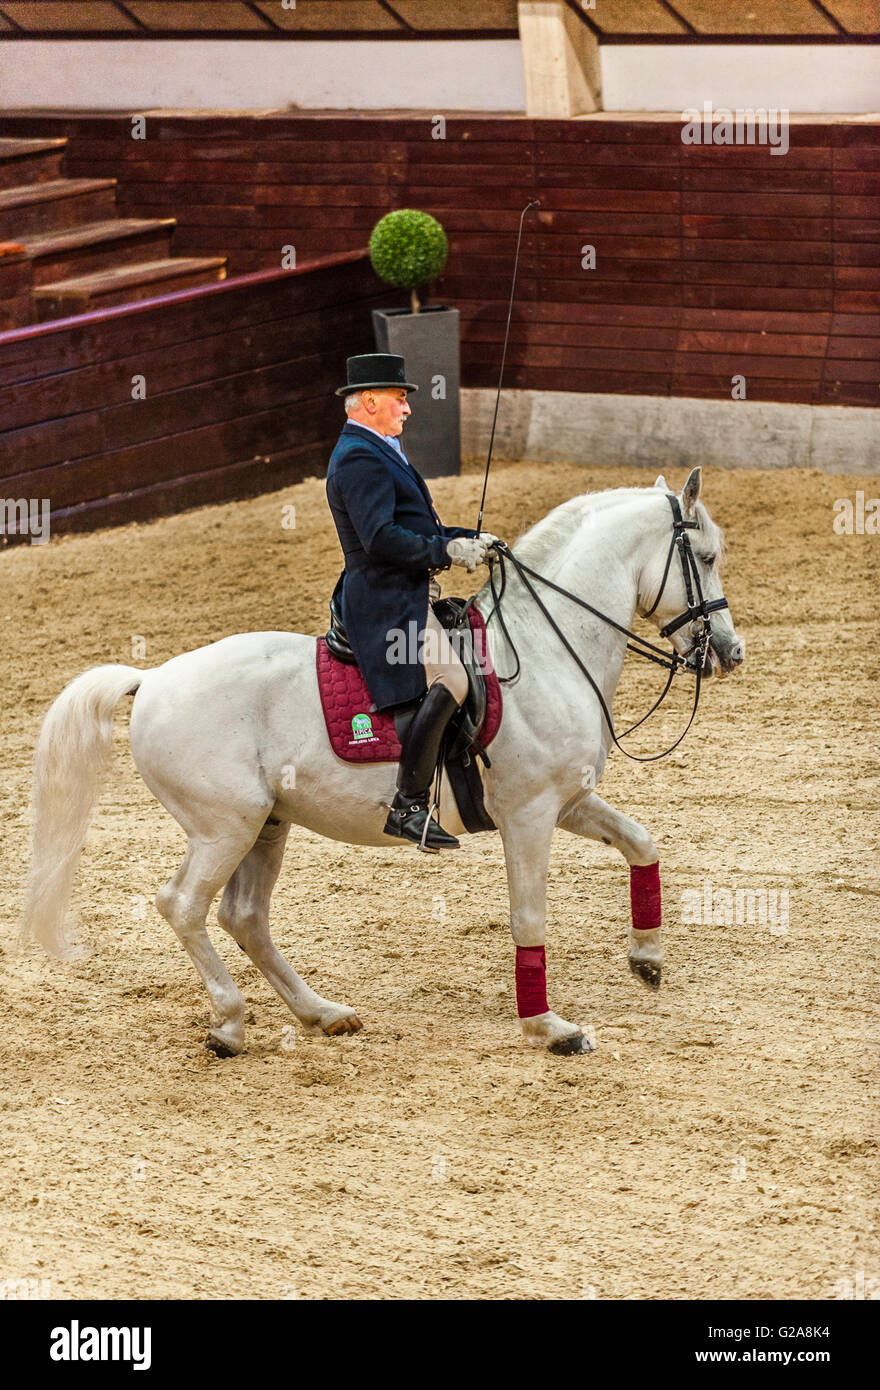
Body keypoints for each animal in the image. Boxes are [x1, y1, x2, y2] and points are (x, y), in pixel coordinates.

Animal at [19, 467, 744, 1056]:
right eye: (706, 557)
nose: (730, 653)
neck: (545, 649)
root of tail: (151, 679)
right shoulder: (531, 814)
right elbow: (529, 917)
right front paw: (550, 1028)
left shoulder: (568, 800)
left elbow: (642, 843)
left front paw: (646, 958)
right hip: (224, 826)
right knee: (183, 906)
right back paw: (229, 1023)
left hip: (267, 824)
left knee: (243, 916)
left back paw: (321, 1014)